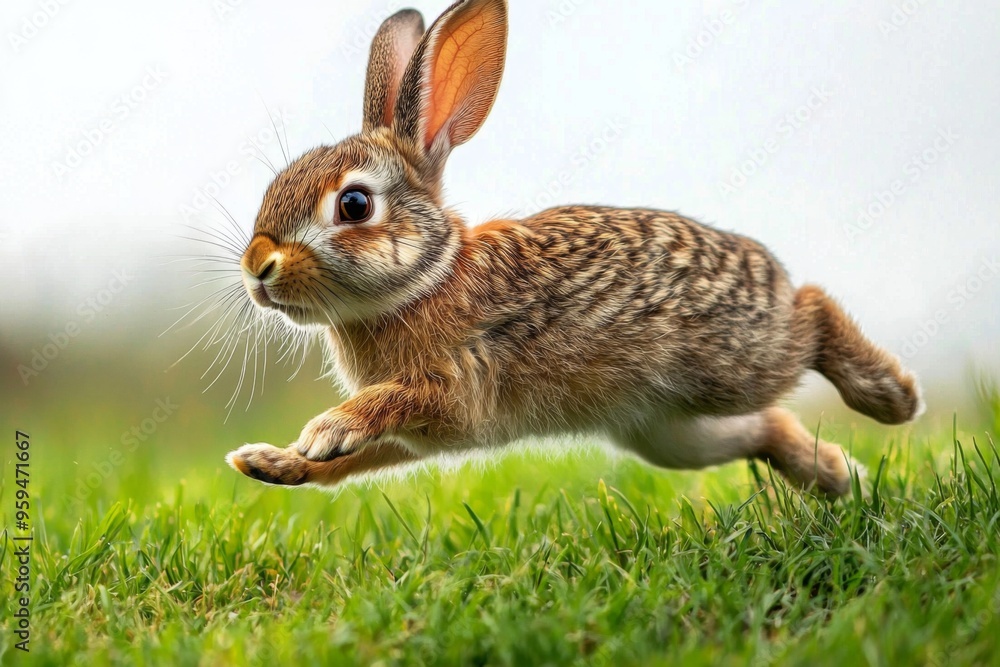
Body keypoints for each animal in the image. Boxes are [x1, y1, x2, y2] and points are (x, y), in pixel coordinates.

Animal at [226, 0, 922, 497]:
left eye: (354, 205)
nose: (258, 267)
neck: (427, 277)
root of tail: (770, 272)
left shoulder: (457, 386)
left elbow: (385, 404)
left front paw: (325, 430)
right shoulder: (422, 436)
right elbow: (358, 460)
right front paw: (275, 463)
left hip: (735, 361)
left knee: (813, 315)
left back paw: (890, 397)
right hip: (668, 431)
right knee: (764, 426)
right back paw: (841, 480)